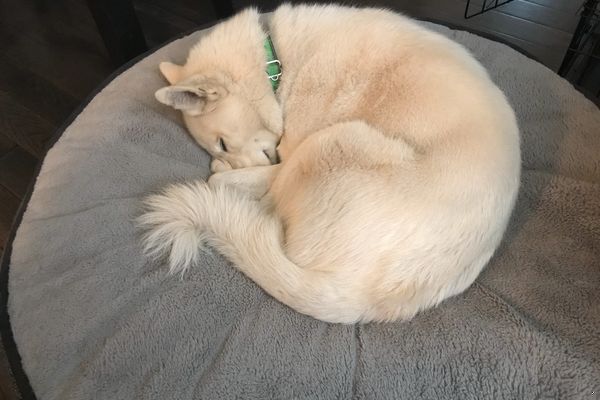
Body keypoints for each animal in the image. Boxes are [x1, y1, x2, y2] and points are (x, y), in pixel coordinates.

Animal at [139, 4, 521, 323]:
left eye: (220, 143)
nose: (221, 159)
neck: (275, 62)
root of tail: (361, 297)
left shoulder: (288, 149)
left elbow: (226, 178)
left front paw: (224, 170)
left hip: (330, 143)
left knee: (261, 200)